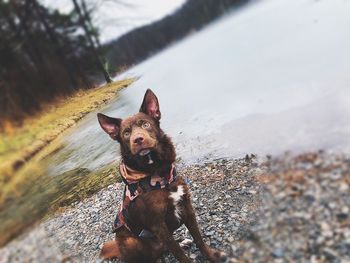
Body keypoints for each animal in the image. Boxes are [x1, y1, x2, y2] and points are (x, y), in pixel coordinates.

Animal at [96, 89, 227, 262]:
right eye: (126, 133)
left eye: (145, 124)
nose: (138, 139)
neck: (159, 175)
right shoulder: (158, 225)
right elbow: (178, 253)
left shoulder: (187, 208)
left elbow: (199, 238)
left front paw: (212, 255)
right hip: (131, 241)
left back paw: (183, 241)